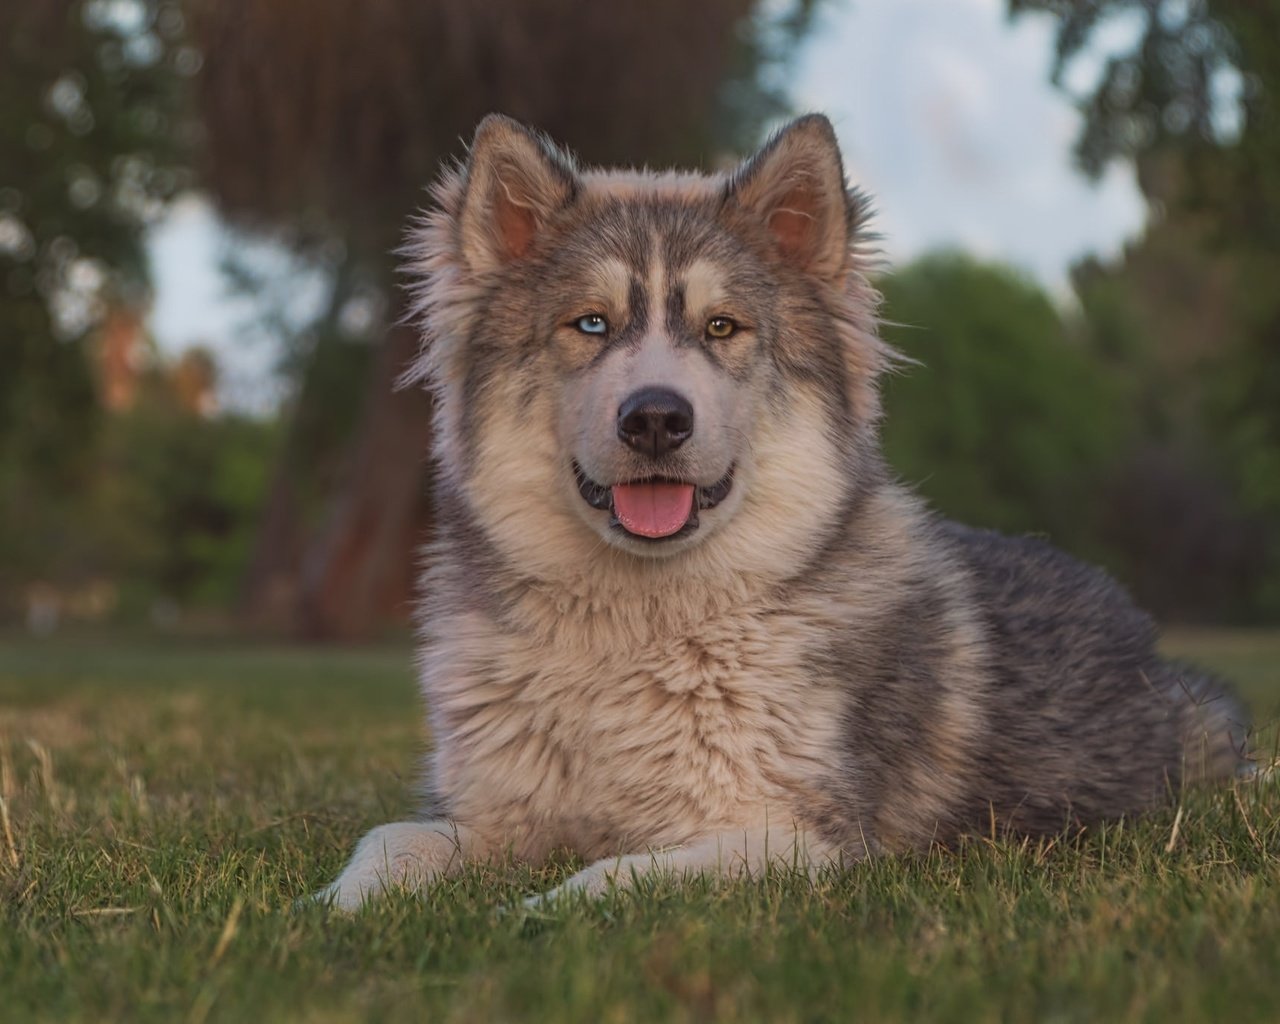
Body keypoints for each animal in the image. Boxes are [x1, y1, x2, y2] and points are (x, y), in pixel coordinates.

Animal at [317, 113, 1249, 911]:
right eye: (590, 324)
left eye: (723, 327)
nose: (655, 419)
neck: (636, 632)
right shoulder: (486, 811)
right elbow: (390, 840)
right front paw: (333, 909)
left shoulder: (799, 839)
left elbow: (612, 877)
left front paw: (531, 912)